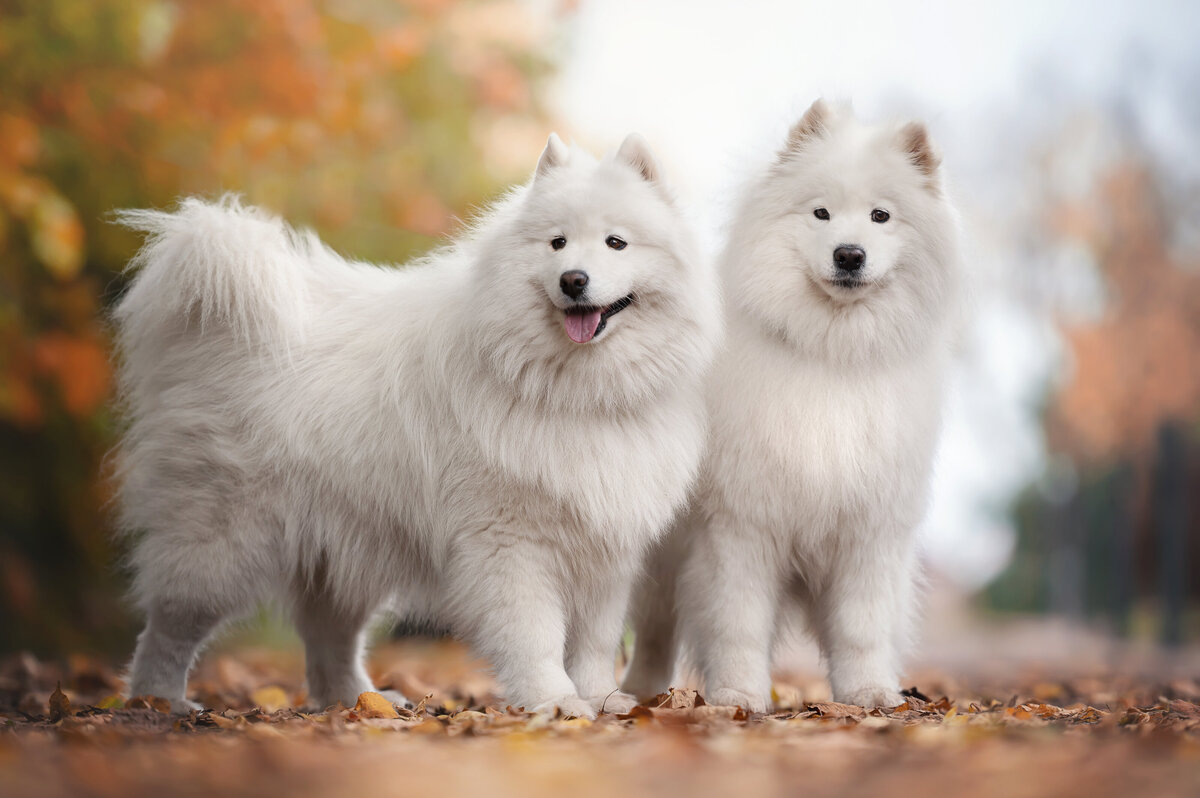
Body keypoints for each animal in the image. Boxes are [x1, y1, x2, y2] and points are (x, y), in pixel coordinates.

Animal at [624, 101, 960, 710]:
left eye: (881, 216)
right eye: (821, 213)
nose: (849, 254)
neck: (831, 356)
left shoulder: (869, 532)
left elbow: (861, 627)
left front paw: (869, 694)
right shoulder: (741, 527)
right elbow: (738, 622)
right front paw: (737, 696)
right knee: (655, 632)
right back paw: (640, 693)